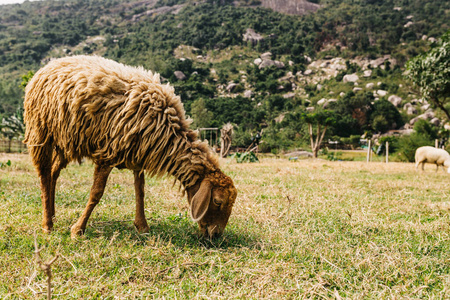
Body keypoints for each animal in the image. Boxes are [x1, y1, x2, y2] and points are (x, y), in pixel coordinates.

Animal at [23, 55, 239, 239]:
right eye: (217, 201)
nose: (216, 235)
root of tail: (50, 64)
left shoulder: (138, 154)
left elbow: (140, 190)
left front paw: (142, 226)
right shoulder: (107, 153)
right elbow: (96, 193)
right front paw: (78, 229)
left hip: (66, 141)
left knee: (53, 173)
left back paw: (52, 215)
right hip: (41, 132)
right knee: (44, 175)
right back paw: (47, 225)